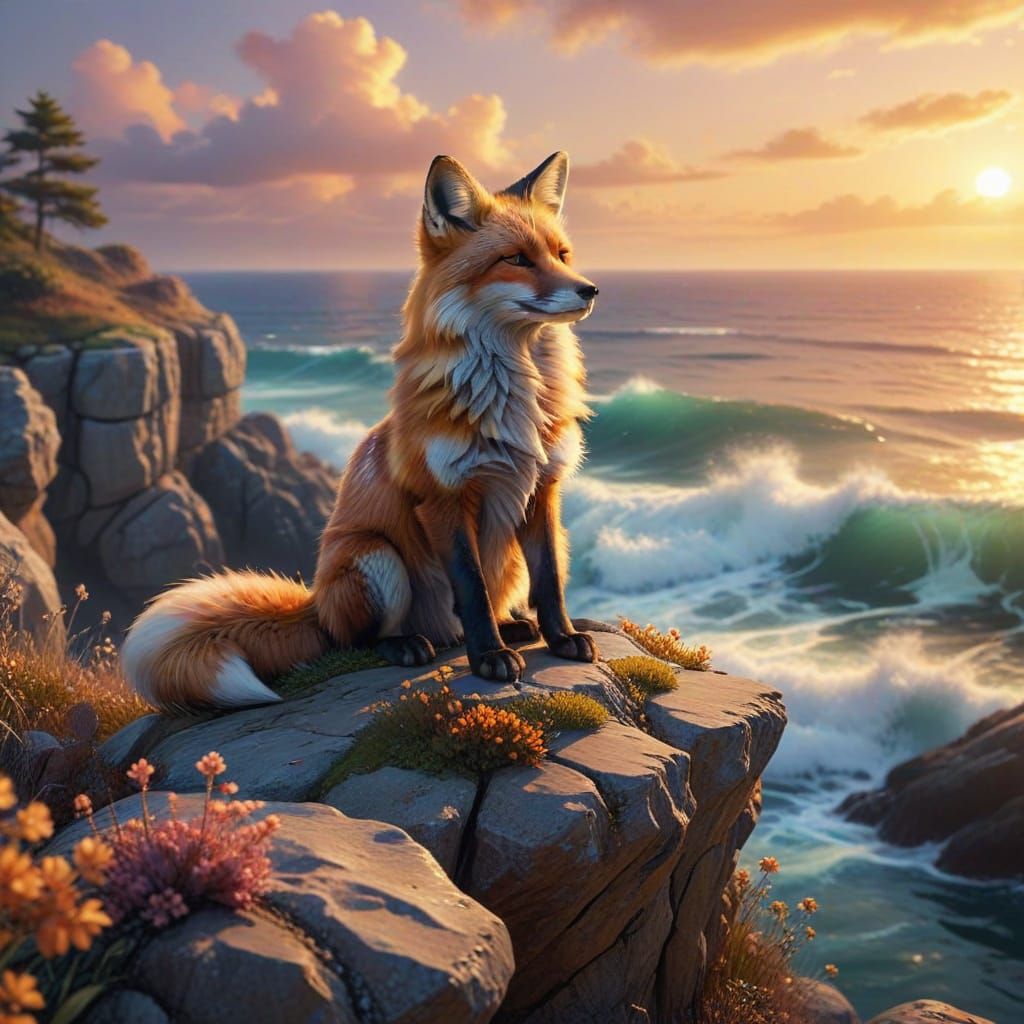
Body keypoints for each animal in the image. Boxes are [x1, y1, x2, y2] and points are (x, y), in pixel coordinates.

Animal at [122, 151, 601, 711]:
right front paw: (489, 659)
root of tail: (316, 604)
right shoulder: (442, 498)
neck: (516, 399)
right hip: (375, 559)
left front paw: (561, 637)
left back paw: (513, 628)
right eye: (517, 259)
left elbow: (550, 580)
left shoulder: (542, 488)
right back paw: (408, 644)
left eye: (562, 254)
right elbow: (472, 590)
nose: (590, 289)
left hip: (493, 563)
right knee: (353, 640)